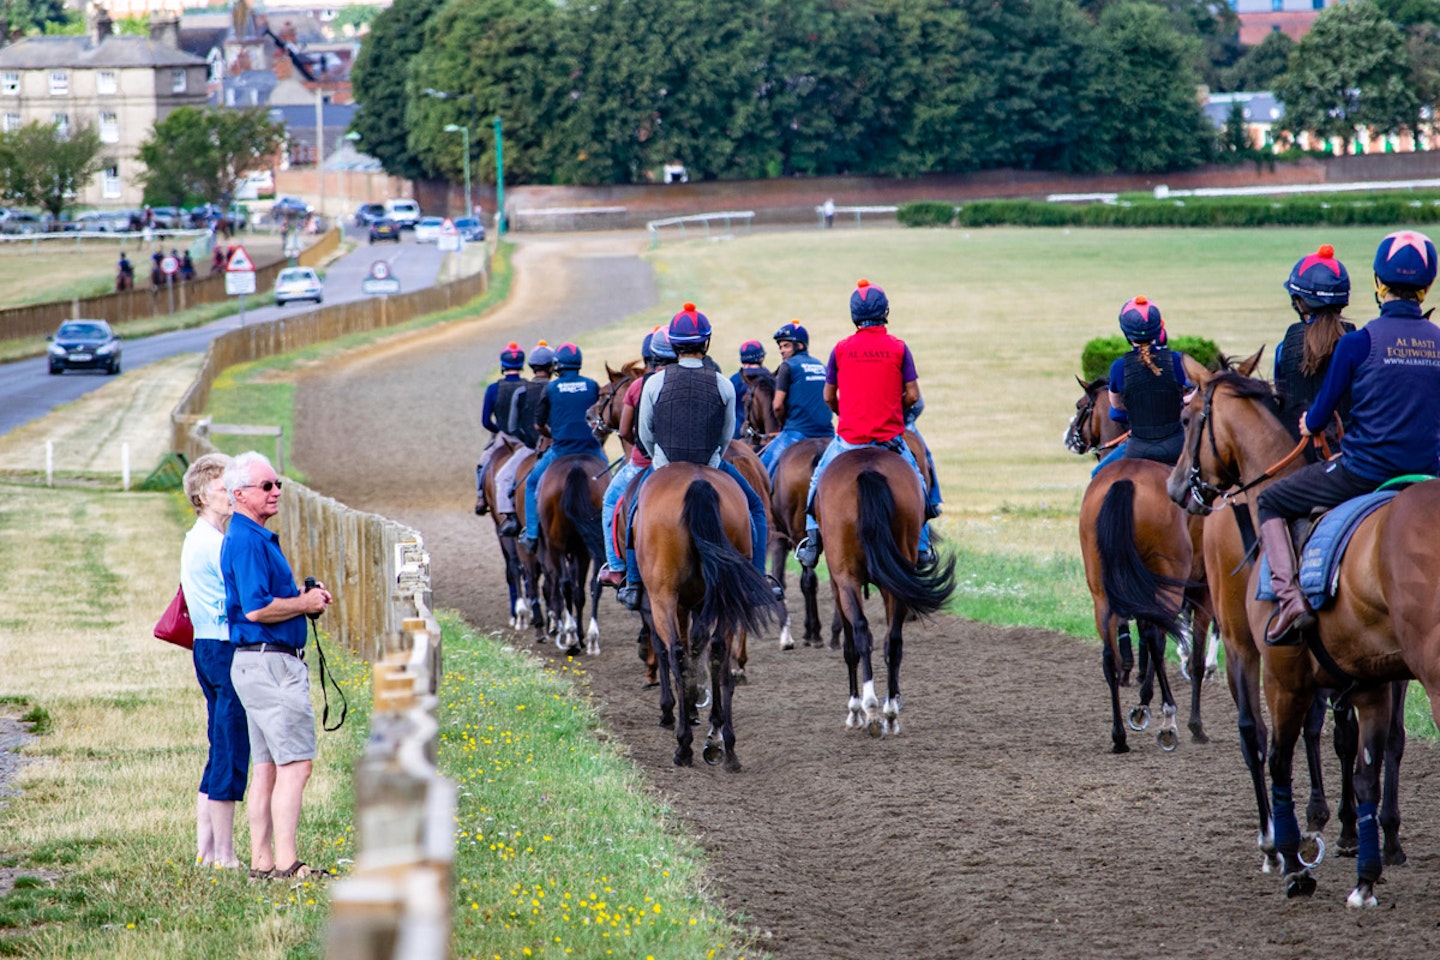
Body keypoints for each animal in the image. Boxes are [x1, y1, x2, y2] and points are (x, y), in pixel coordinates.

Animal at [538, 454, 610, 656]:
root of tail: (575, 467)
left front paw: (574, 634)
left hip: (558, 546)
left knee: (566, 584)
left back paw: (571, 635)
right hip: (584, 547)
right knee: (592, 584)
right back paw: (590, 637)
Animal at [636, 460, 783, 771]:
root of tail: (698, 482)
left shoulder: (660, 602)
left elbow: (668, 648)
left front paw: (673, 709)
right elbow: (699, 644)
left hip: (662, 595)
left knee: (676, 653)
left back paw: (684, 746)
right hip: (724, 596)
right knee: (716, 651)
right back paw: (722, 743)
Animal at [817, 449, 950, 736]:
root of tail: (868, 469)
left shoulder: (837, 582)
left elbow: (850, 646)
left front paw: (854, 711)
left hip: (847, 579)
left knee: (861, 632)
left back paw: (868, 708)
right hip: (897, 578)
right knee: (894, 640)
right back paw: (890, 713)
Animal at [1169, 362, 1428, 909]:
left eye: (1185, 418)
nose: (1176, 487)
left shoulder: (1273, 668)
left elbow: (1275, 751)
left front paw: (1290, 852)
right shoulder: (1364, 678)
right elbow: (1360, 753)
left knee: (1263, 737)